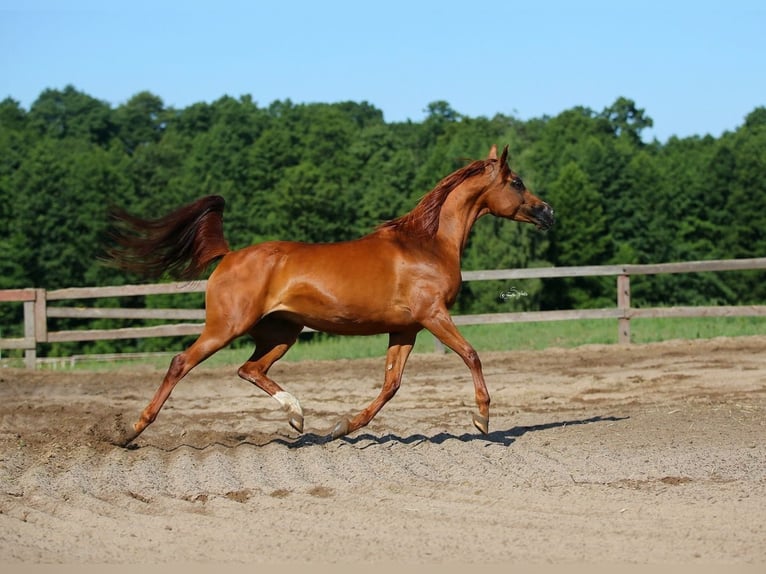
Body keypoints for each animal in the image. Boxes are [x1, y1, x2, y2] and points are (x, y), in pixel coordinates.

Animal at [104, 145, 554, 446]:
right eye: (517, 182)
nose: (548, 212)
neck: (427, 244)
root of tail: (229, 256)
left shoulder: (406, 328)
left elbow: (391, 384)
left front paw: (343, 427)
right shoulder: (433, 315)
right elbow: (471, 355)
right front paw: (483, 420)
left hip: (282, 332)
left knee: (250, 369)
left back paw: (297, 417)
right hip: (228, 326)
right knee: (181, 363)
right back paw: (130, 432)